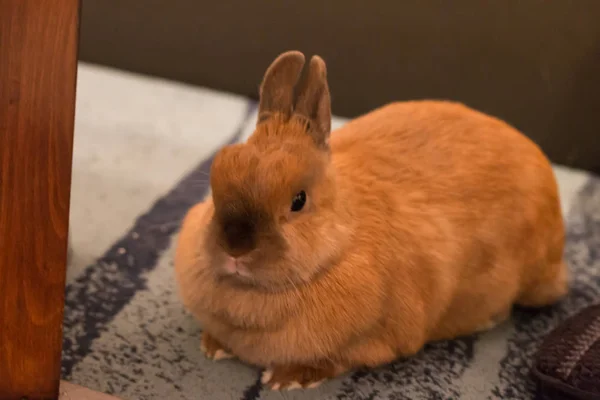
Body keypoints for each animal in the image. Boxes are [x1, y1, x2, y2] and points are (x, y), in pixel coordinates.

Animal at [173, 50, 568, 390]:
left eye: (298, 200)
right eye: (218, 175)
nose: (235, 249)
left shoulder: (372, 340)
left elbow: (335, 360)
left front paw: (288, 378)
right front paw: (213, 345)